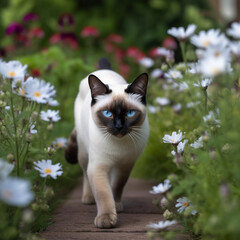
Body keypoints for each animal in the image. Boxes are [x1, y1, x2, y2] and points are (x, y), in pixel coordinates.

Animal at [64, 58, 149, 229]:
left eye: (130, 113)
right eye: (107, 113)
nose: (118, 126)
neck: (118, 145)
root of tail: (104, 69)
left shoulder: (125, 165)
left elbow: (116, 187)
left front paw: (116, 206)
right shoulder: (98, 166)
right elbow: (103, 193)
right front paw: (106, 219)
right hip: (84, 154)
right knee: (85, 174)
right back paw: (88, 198)